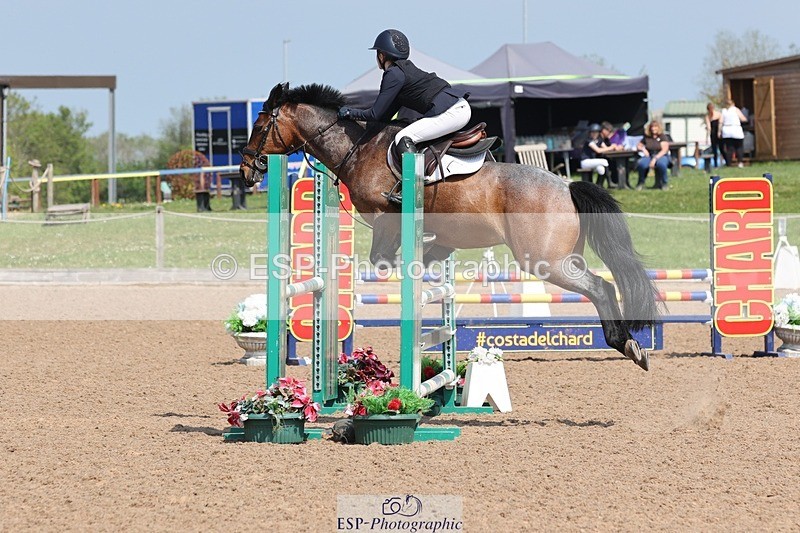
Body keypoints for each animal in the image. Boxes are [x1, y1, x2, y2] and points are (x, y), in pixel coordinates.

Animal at [240, 82, 661, 371]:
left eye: (259, 124)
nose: (246, 170)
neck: (355, 147)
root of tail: (567, 186)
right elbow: (417, 255)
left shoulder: (386, 217)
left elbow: (384, 259)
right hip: (561, 257)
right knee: (603, 284)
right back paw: (630, 345)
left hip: (545, 261)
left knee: (600, 286)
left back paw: (627, 345)